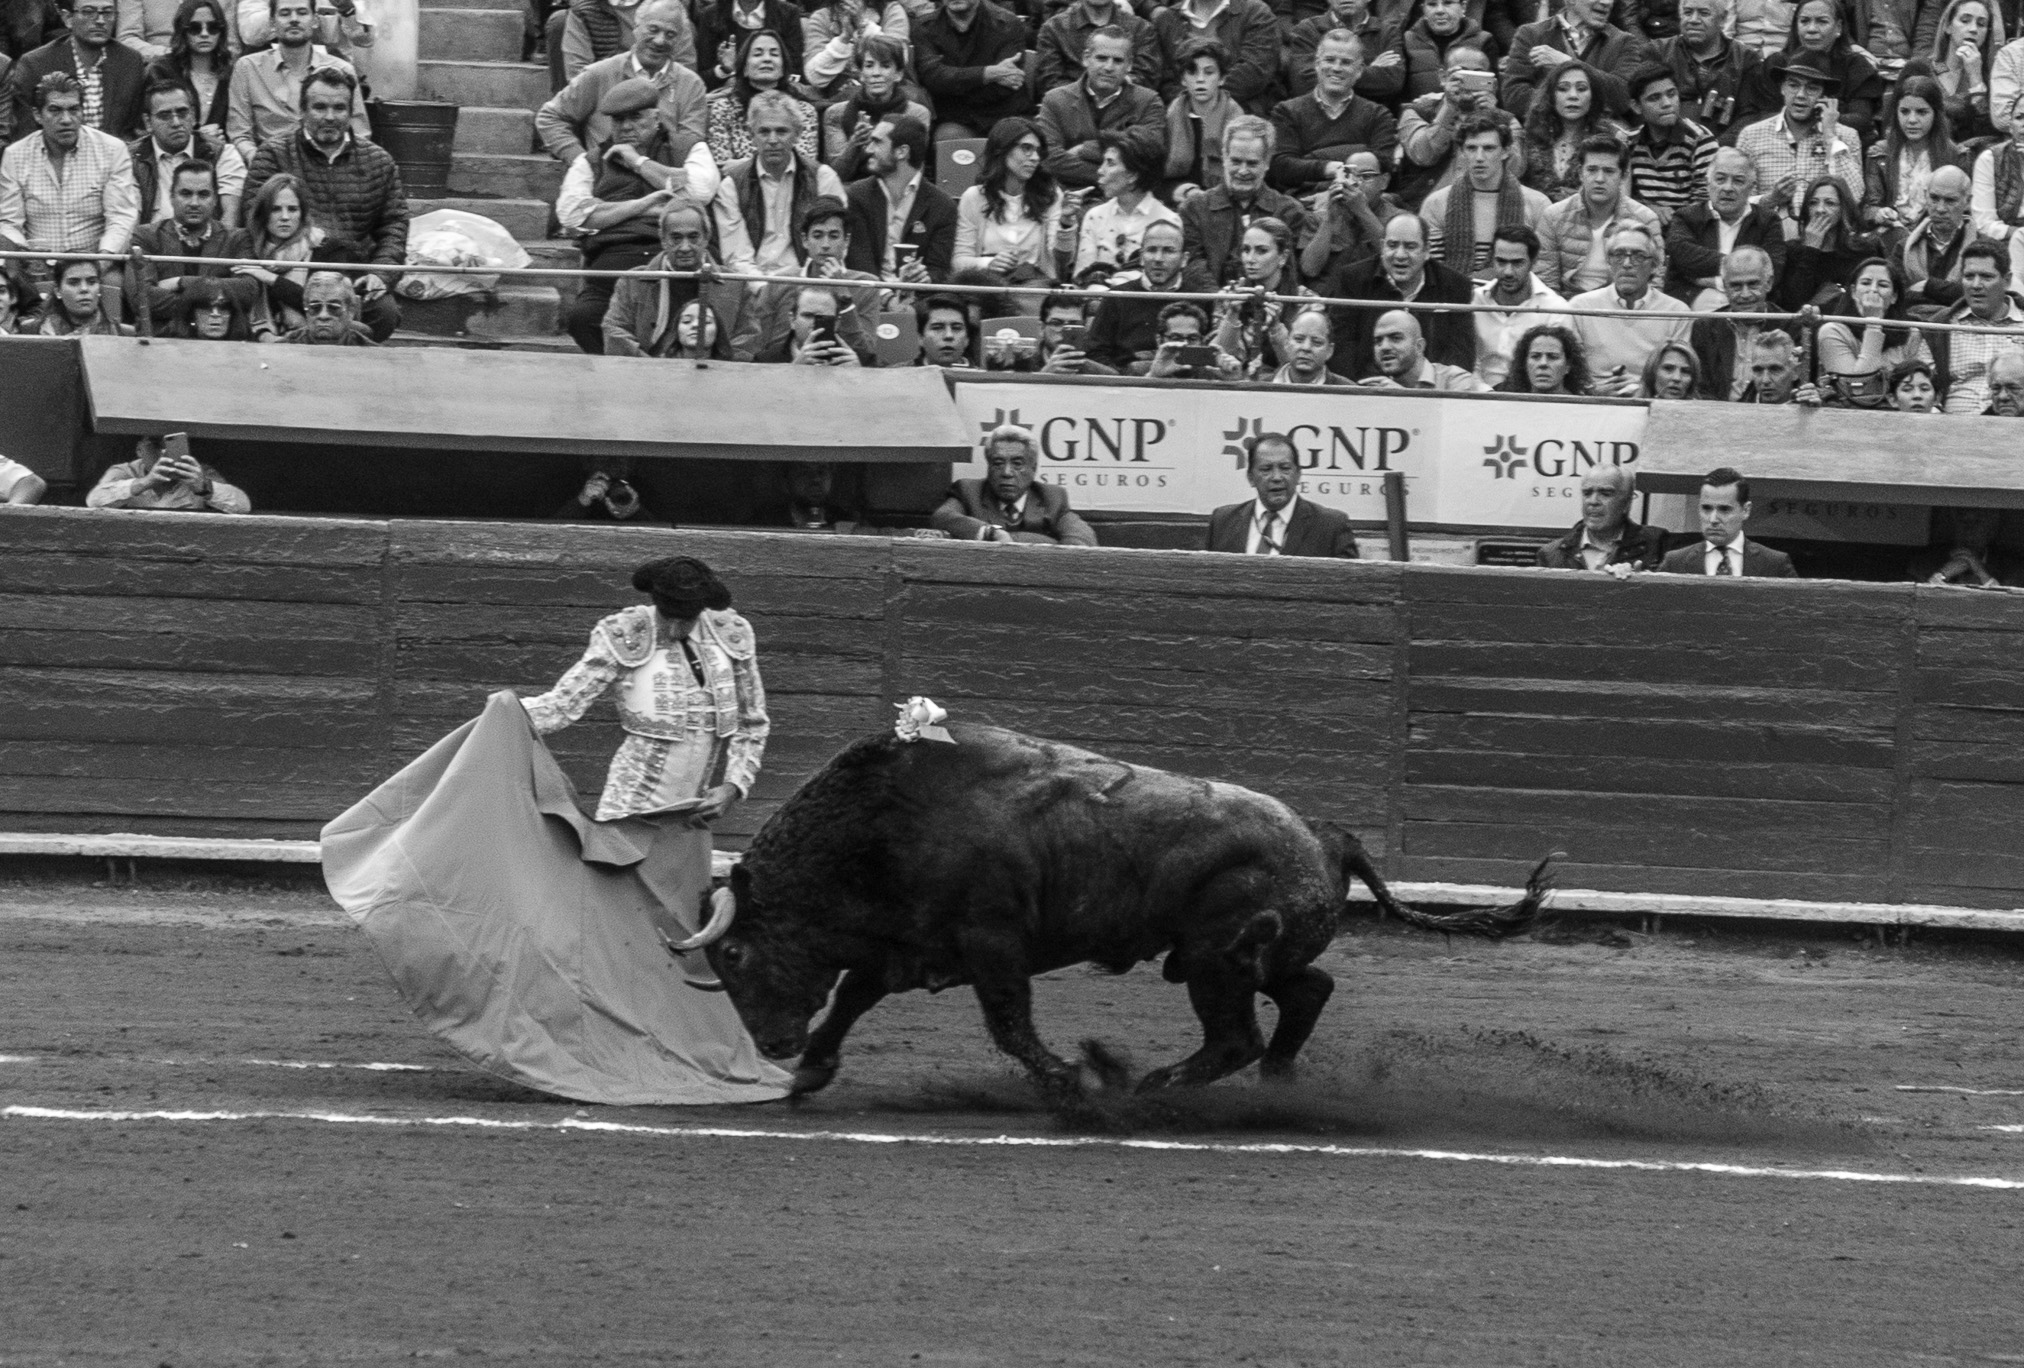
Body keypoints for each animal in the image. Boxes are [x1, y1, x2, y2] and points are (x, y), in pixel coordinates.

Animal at [680, 728, 1546, 1100]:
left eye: (736, 955)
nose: (771, 1044)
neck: (885, 821)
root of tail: (1327, 839)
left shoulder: (991, 945)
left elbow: (1008, 1024)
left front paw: (1073, 1077)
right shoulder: (904, 947)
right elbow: (852, 998)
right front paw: (812, 1072)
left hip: (1216, 961)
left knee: (1234, 1036)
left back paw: (1148, 1085)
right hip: (1245, 959)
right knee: (1307, 993)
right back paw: (1274, 1081)